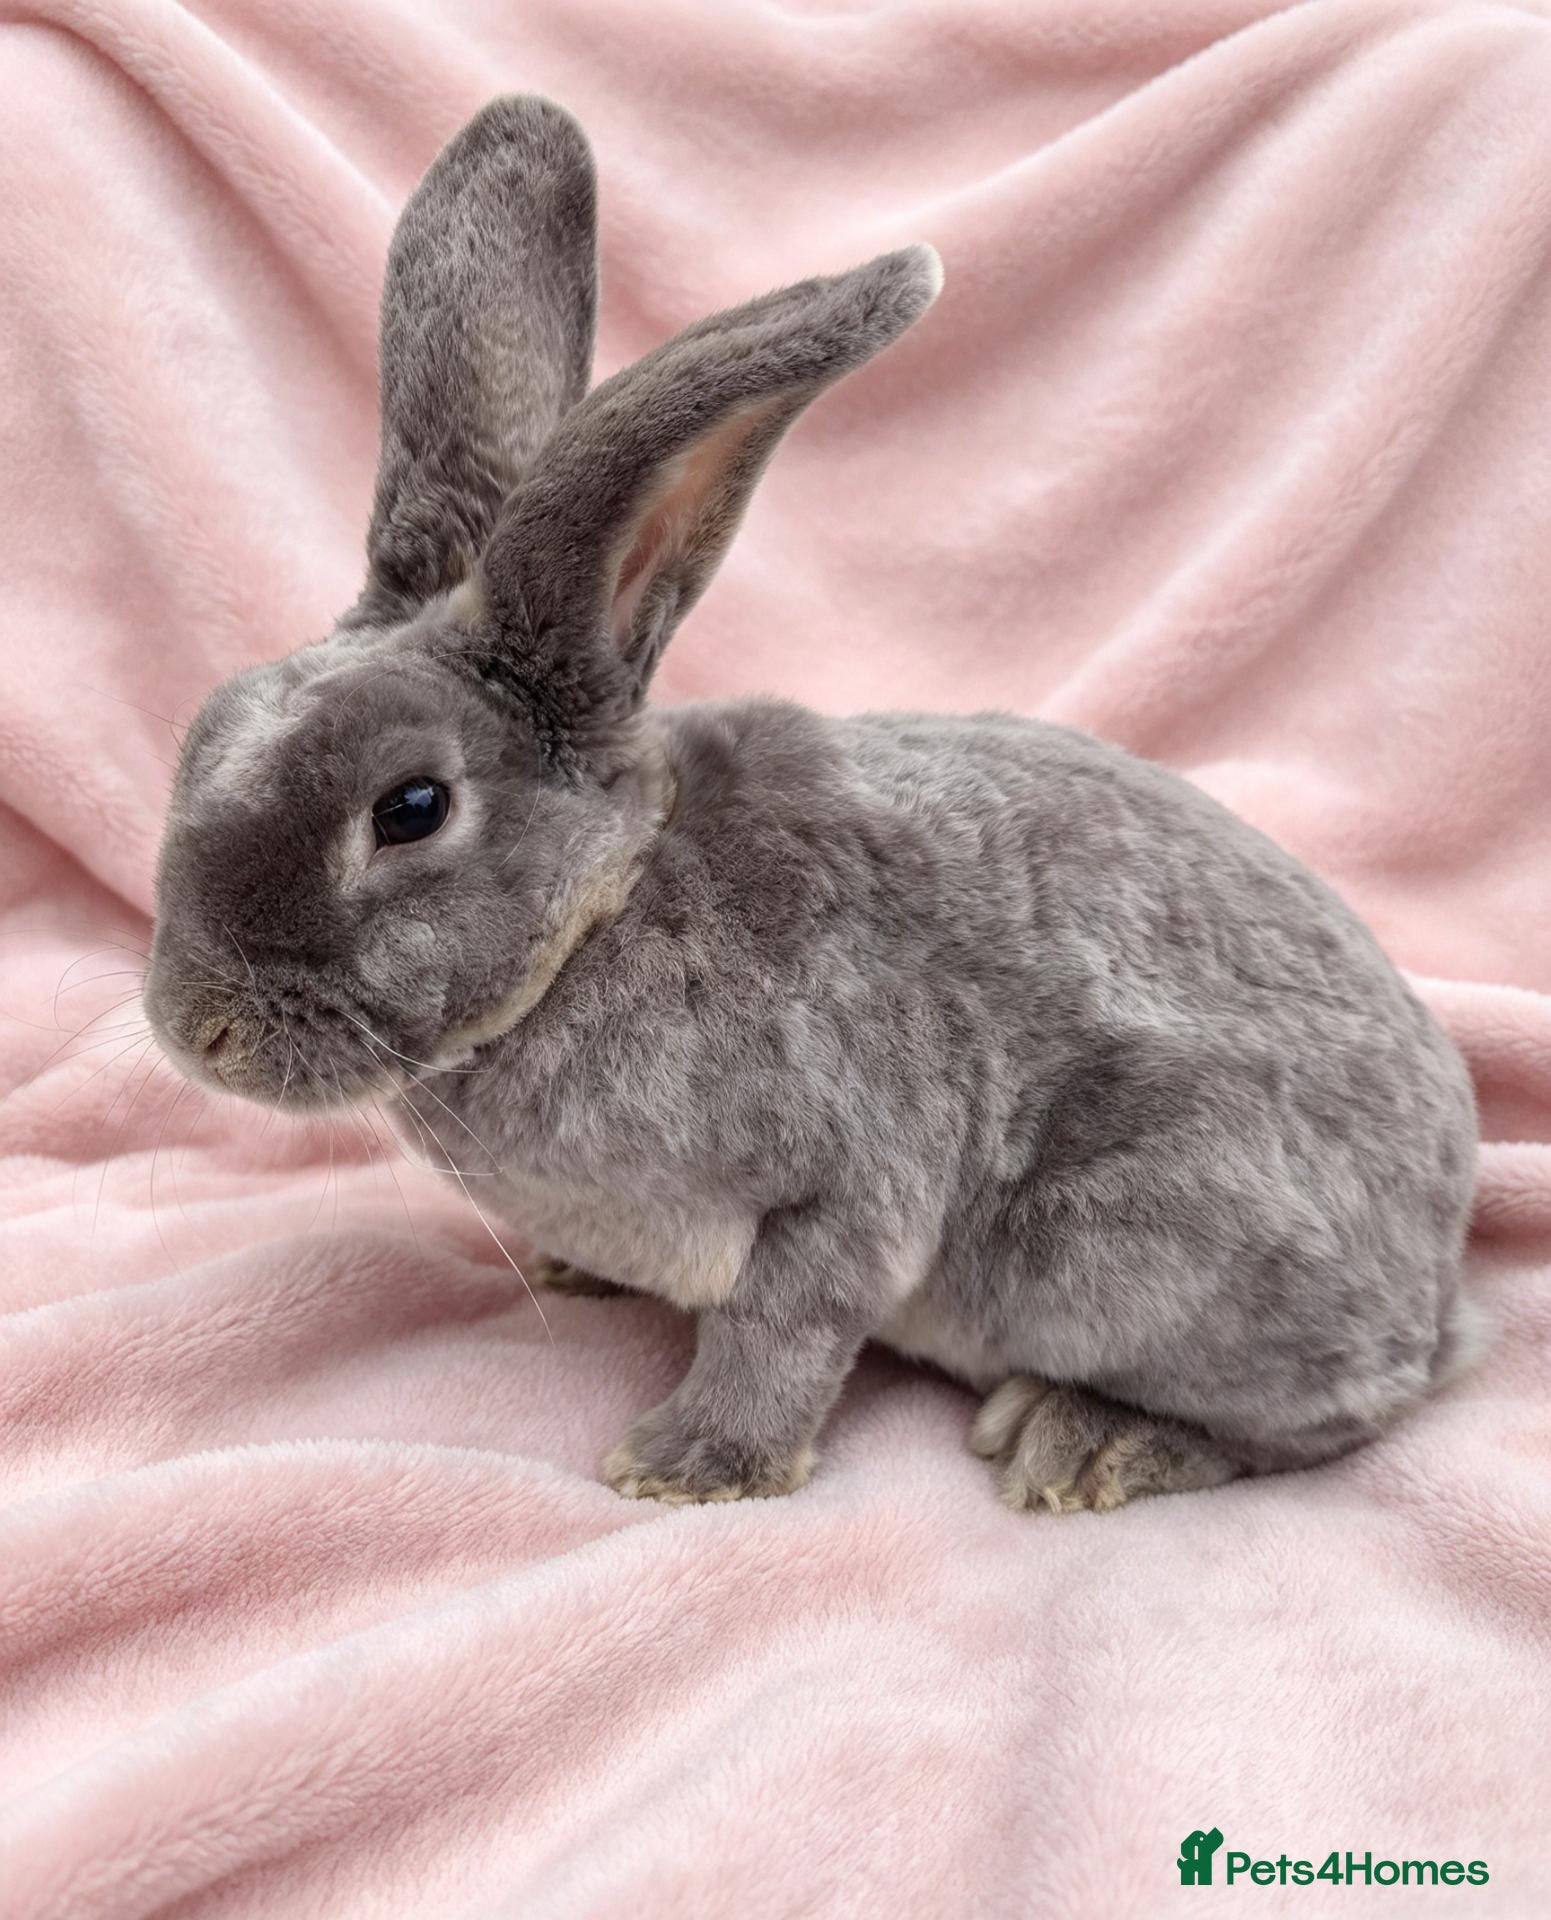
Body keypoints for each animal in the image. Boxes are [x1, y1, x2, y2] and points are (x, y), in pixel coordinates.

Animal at [144, 95, 1481, 1515]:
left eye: (409, 806)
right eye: (206, 725)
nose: (191, 1029)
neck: (608, 910)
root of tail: (1442, 1275)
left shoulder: (851, 1175)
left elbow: (784, 1325)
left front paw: (684, 1470)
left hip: (1130, 1248)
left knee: (1336, 1417)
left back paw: (1084, 1439)